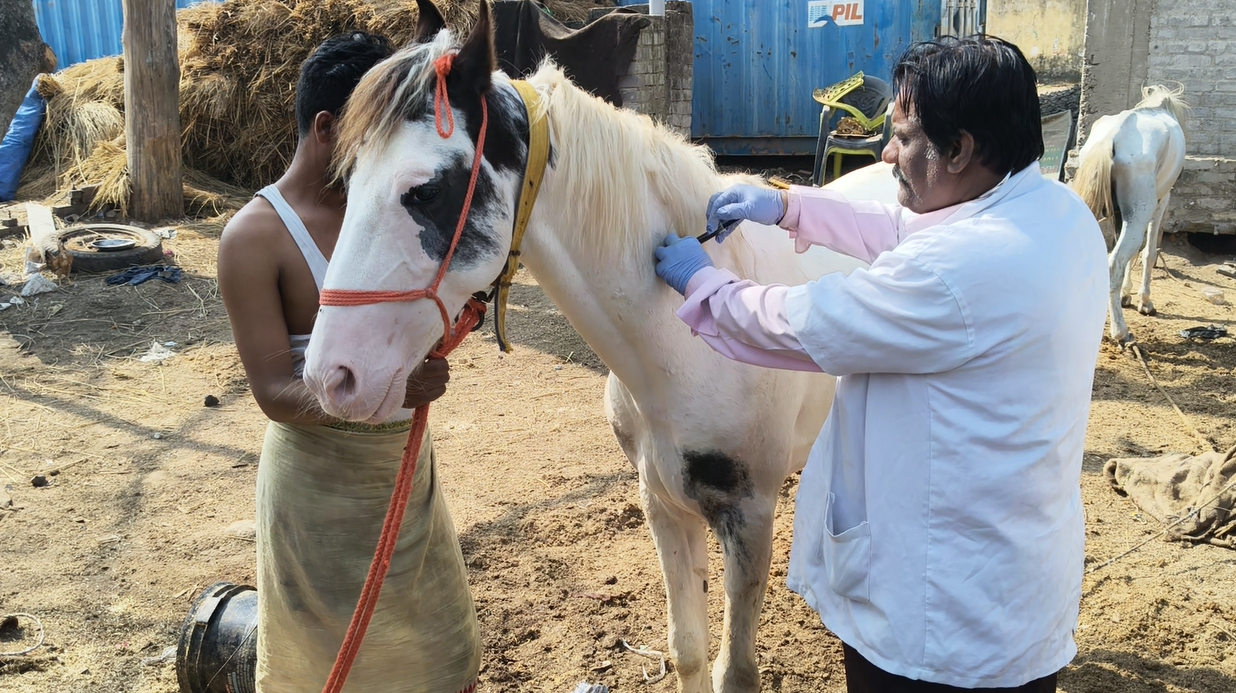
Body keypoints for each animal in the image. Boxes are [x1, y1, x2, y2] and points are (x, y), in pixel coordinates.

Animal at [302, 2, 882, 690]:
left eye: (426, 191)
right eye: (346, 179)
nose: (332, 377)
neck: (683, 345)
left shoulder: (750, 514)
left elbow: (733, 672)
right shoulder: (662, 502)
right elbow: (687, 650)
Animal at [1071, 85, 1188, 344]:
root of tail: (1112, 137)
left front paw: (1126, 294)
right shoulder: (1161, 202)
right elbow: (1148, 253)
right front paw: (1145, 301)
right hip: (1141, 212)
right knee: (1115, 262)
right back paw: (1120, 331)